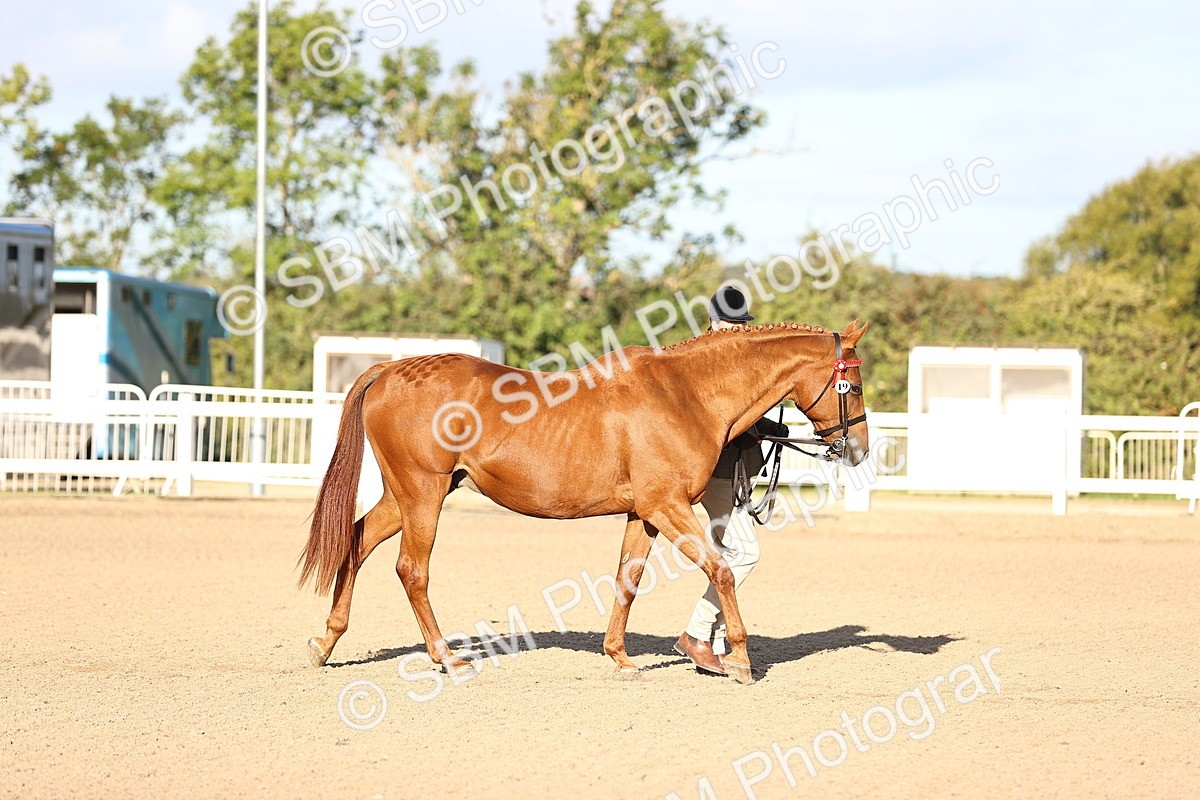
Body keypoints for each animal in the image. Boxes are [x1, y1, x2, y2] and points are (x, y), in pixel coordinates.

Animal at [299, 319, 870, 684]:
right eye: (855, 385)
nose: (859, 449)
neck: (685, 394)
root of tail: (392, 369)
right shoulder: (667, 507)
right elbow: (722, 571)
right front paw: (741, 662)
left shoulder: (644, 514)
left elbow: (627, 578)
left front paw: (620, 657)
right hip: (423, 494)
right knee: (411, 569)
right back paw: (448, 658)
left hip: (407, 496)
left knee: (356, 542)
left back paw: (325, 644)